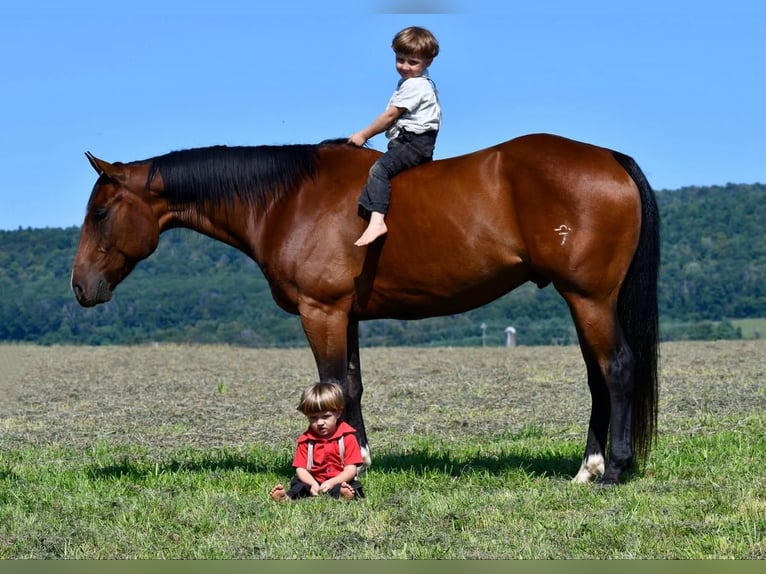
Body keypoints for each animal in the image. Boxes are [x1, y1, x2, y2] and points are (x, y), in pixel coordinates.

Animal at [72, 134, 660, 486]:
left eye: (100, 212)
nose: (81, 287)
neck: (286, 200)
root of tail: (610, 158)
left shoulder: (322, 311)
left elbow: (330, 384)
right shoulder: (346, 315)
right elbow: (350, 385)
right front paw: (361, 459)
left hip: (589, 299)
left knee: (617, 369)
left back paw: (614, 469)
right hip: (584, 301)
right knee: (597, 377)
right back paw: (587, 468)